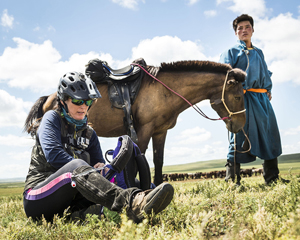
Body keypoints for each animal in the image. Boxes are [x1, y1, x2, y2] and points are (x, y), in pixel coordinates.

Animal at [24, 60, 246, 186]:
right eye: (237, 96)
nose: (240, 124)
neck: (163, 91)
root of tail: (49, 97)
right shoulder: (144, 130)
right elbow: (138, 158)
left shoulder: (160, 132)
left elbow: (158, 161)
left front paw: (157, 185)